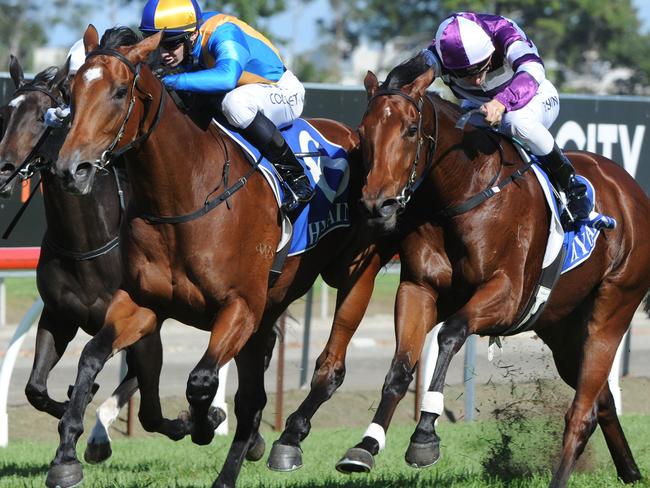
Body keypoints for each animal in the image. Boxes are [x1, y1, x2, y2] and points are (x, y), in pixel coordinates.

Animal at [44, 25, 394, 488]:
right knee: (253, 396)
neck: (186, 192)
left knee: (328, 368)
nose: (72, 169)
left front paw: (204, 422)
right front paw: (66, 455)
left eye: (120, 92)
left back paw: (287, 441)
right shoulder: (144, 304)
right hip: (271, 307)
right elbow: (90, 359)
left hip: (355, 273)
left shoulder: (240, 306)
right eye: (71, 91)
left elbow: (201, 380)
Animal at [354, 53, 648, 488]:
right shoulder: (419, 289)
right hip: (560, 326)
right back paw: (629, 471)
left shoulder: (507, 296)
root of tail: (632, 192)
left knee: (583, 409)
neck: (461, 193)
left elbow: (451, 334)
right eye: (364, 131)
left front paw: (424, 436)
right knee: (602, 400)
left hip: (612, 308)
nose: (378, 205)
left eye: (410, 130)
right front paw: (365, 446)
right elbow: (400, 367)